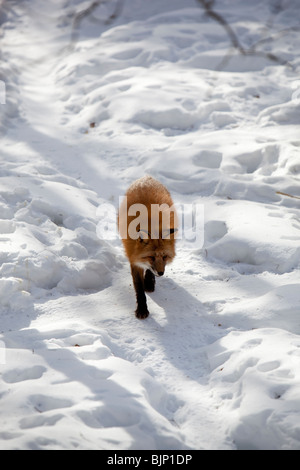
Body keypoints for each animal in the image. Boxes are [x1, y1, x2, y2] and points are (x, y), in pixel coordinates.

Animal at [118, 176, 177, 320]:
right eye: (151, 257)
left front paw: (149, 282)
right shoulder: (134, 259)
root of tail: (147, 177)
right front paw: (142, 309)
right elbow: (139, 287)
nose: (161, 273)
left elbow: (149, 271)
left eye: (165, 256)